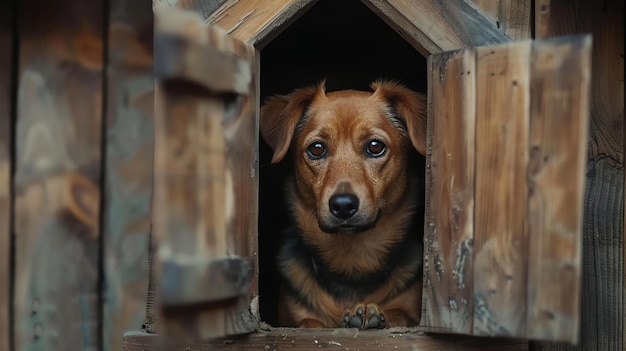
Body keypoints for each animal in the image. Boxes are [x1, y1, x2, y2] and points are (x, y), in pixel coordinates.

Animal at [258, 80, 424, 330]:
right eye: (316, 148)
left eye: (375, 146)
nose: (343, 204)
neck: (351, 259)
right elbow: (307, 323)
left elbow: (400, 314)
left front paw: (370, 312)